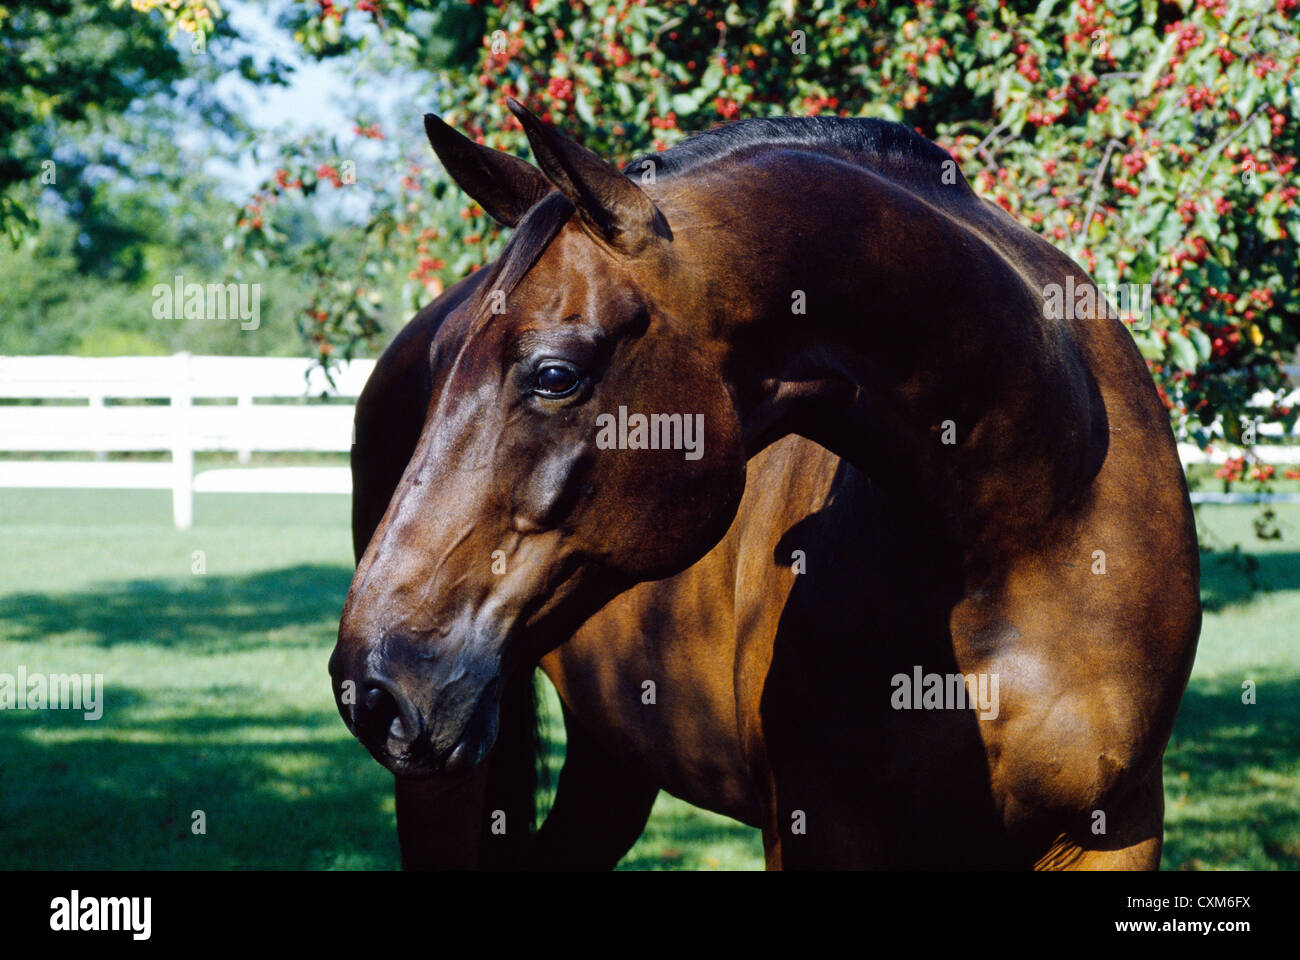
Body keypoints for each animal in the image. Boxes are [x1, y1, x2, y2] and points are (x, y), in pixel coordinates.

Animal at [330, 98, 1201, 868]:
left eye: (554, 374)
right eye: (442, 360)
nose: (371, 685)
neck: (1030, 523)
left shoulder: (1115, 830)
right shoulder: (818, 831)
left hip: (611, 761)